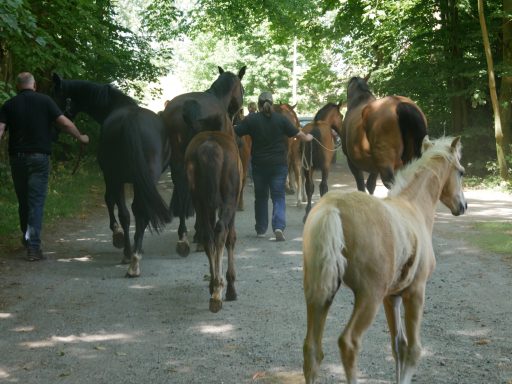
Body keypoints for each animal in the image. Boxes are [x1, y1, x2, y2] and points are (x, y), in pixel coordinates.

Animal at [53, 73, 171, 276]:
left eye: (54, 96)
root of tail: (132, 121)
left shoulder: (110, 177)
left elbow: (109, 200)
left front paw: (117, 236)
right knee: (138, 211)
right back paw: (134, 256)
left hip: (118, 177)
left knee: (129, 211)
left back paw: (130, 255)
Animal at [161, 65, 247, 258]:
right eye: (243, 90)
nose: (239, 118)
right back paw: (200, 237)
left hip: (178, 160)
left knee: (183, 187)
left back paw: (184, 236)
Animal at [184, 127, 242, 314]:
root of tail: (210, 147)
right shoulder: (232, 205)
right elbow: (231, 239)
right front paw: (230, 288)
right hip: (229, 200)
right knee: (221, 232)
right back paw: (219, 289)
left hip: (199, 201)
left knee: (208, 236)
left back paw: (214, 287)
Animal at [304, 136, 468, 382]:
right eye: (461, 172)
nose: (463, 206)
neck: (414, 207)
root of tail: (333, 207)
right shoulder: (415, 292)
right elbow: (413, 350)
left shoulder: (392, 298)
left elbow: (398, 346)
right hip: (368, 296)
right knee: (348, 343)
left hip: (319, 295)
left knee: (312, 350)